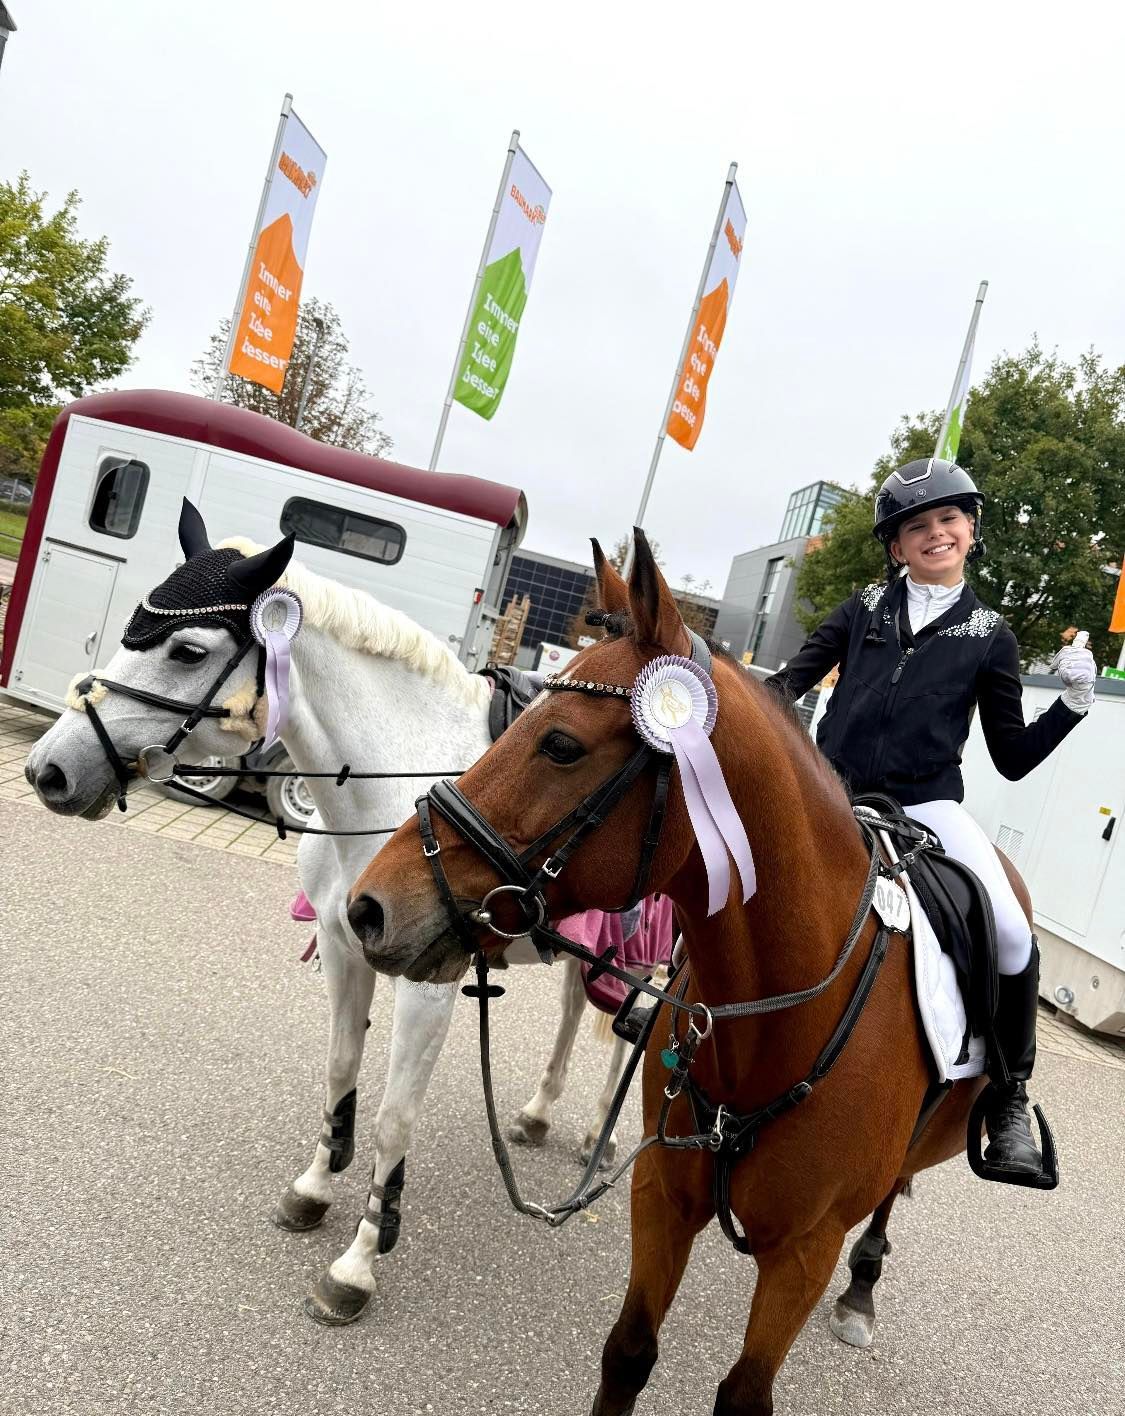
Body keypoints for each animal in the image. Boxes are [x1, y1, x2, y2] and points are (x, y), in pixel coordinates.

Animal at [22, 502, 641, 1326]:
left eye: (187, 651)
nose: (49, 771)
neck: (398, 794)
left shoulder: (427, 987)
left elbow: (393, 1118)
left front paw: (358, 1262)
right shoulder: (345, 948)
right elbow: (341, 1066)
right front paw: (316, 1186)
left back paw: (599, 1134)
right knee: (578, 1007)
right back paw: (541, 1113)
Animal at [345, 531, 1028, 1415]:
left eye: (559, 743)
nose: (369, 907)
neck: (777, 1018)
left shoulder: (802, 1253)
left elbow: (743, 1393)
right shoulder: (662, 1197)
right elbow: (627, 1352)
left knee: (887, 1200)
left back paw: (862, 1289)